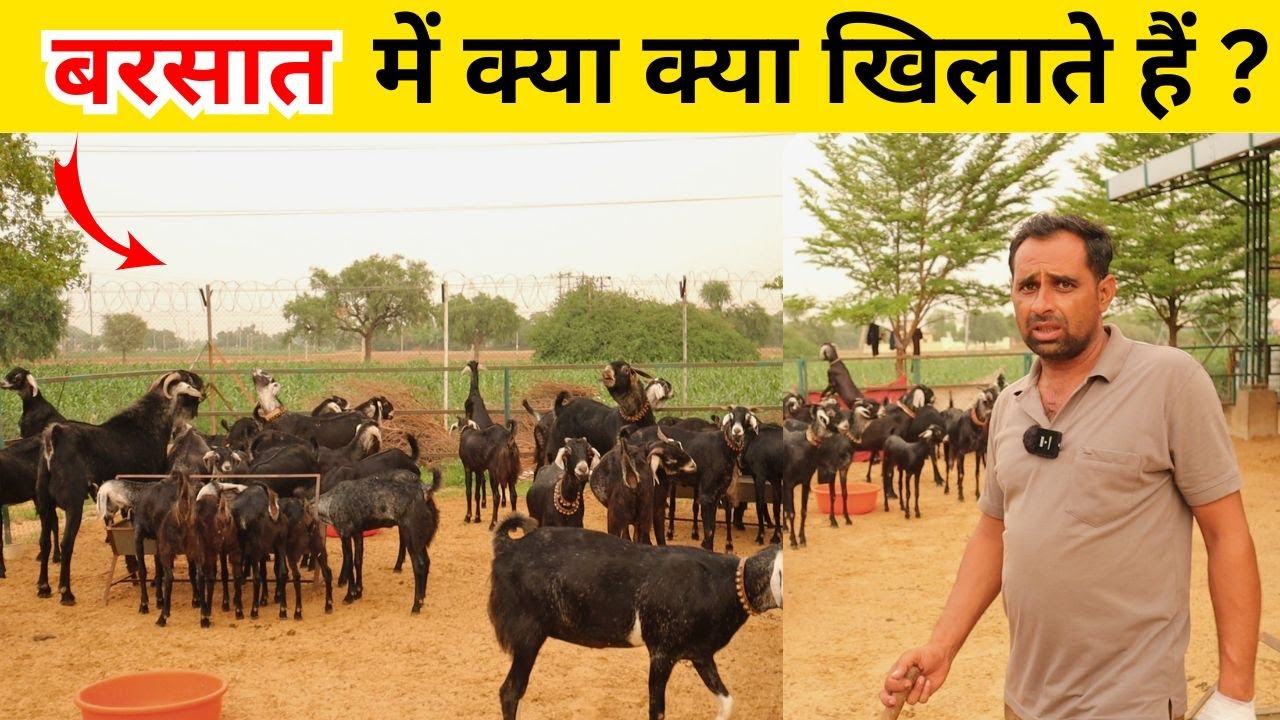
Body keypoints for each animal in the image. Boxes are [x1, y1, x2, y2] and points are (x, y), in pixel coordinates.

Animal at [35, 370, 203, 605]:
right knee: (67, 544)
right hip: (73, 504)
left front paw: (132, 570)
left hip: (44, 503)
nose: (203, 389)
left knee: (44, 542)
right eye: (189, 382)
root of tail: (54, 435)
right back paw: (66, 593)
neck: (148, 423)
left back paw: (43, 587)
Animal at [316, 467, 442, 614]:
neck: (331, 500)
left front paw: (349, 596)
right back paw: (422, 598)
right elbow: (357, 561)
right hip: (419, 539)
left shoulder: (345, 533)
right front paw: (358, 592)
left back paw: (416, 605)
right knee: (427, 562)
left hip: (411, 536)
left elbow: (348, 563)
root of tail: (425, 490)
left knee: (419, 565)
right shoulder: (357, 533)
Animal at [489, 516, 783, 720]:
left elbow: (727, 702)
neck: (723, 583)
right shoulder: (662, 653)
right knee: (510, 692)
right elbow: (658, 711)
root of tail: (508, 547)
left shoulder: (700, 654)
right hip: (528, 635)